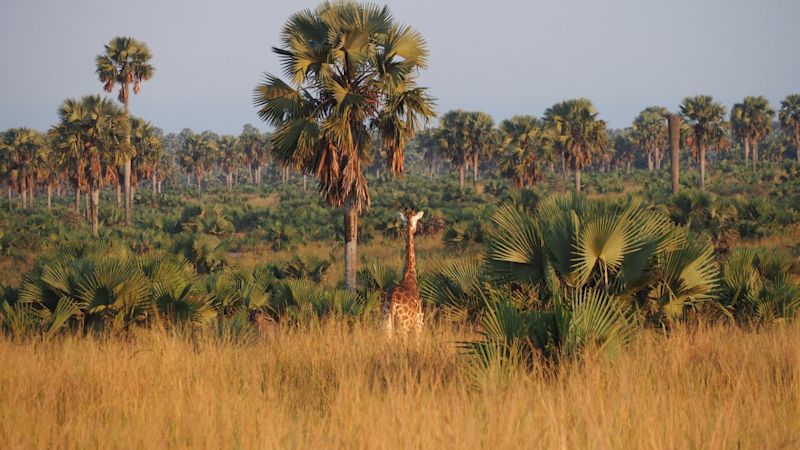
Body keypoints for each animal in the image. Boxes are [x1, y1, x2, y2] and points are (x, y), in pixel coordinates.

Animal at [382, 208, 424, 338]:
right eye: (416, 221)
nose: (415, 229)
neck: (410, 274)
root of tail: (393, 303)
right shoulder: (419, 324)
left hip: (385, 324)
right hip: (404, 327)